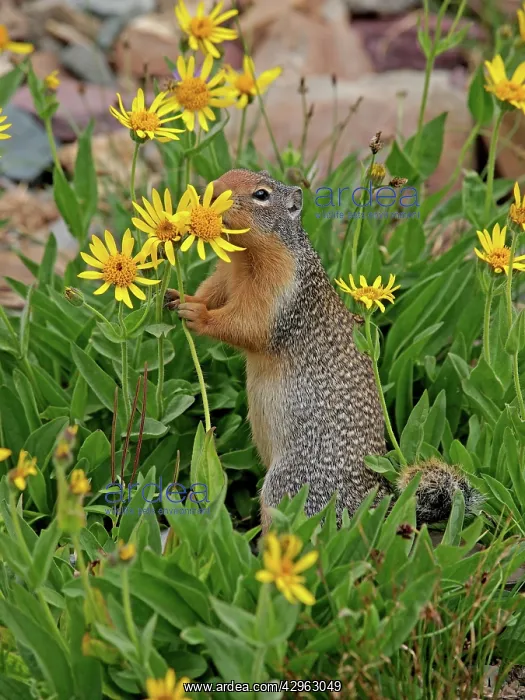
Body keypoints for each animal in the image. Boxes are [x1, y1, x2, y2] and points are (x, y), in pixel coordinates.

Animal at [165, 169, 480, 532]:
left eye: (261, 194)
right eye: (228, 173)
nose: (213, 190)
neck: (245, 255)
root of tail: (370, 505)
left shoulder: (279, 293)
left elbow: (247, 325)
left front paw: (198, 315)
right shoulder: (225, 274)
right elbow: (211, 293)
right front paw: (177, 297)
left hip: (290, 483)